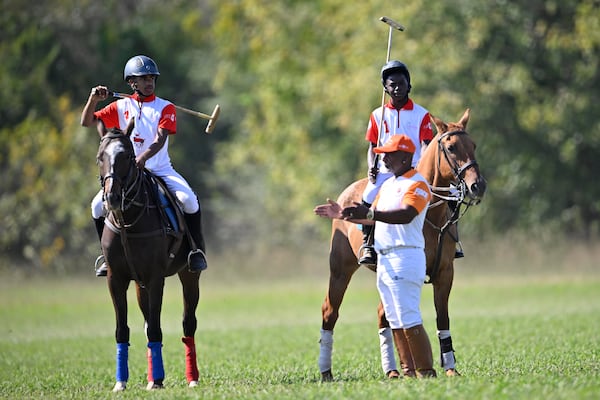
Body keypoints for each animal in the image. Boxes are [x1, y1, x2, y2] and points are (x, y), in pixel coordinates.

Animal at [97, 122, 203, 390]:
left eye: (127, 156)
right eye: (100, 157)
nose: (112, 198)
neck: (129, 221)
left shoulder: (156, 278)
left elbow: (156, 328)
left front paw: (156, 382)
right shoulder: (115, 279)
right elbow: (123, 329)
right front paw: (121, 383)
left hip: (188, 276)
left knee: (188, 323)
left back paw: (191, 378)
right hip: (139, 284)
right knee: (146, 324)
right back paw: (153, 375)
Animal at [322, 109, 486, 382]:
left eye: (473, 145)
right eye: (451, 148)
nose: (478, 185)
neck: (432, 214)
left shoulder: (445, 273)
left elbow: (442, 318)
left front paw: (450, 368)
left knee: (383, 314)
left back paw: (393, 370)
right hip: (340, 270)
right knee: (330, 311)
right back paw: (326, 372)